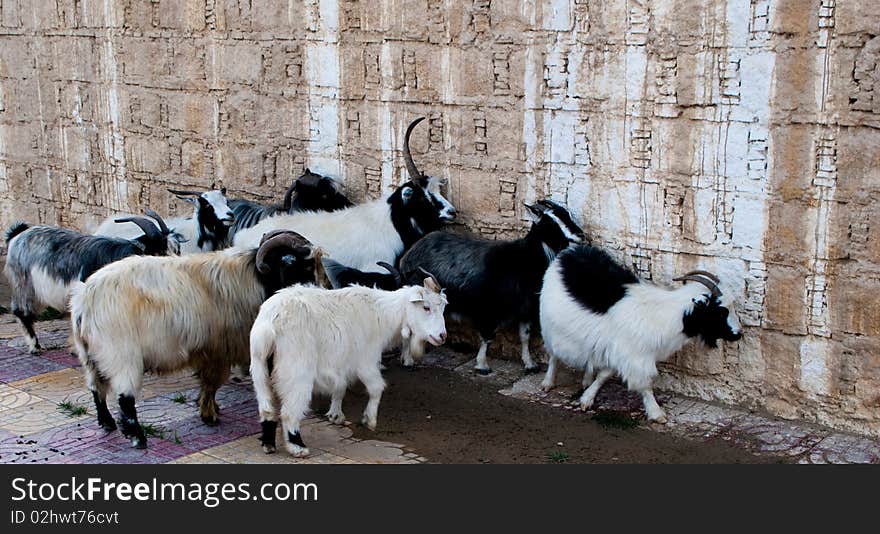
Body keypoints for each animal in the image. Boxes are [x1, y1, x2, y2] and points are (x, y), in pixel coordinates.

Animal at [69, 232, 324, 450]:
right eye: (305, 266)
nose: (321, 291)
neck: (253, 279)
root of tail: (85, 301)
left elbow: (207, 383)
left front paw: (210, 408)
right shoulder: (217, 350)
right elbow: (212, 383)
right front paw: (209, 414)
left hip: (90, 355)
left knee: (96, 388)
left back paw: (107, 423)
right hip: (121, 355)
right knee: (125, 398)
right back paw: (137, 438)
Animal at [540, 245, 740, 426]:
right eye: (720, 312)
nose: (738, 334)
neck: (667, 316)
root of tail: (567, 253)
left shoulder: (619, 351)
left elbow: (605, 374)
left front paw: (587, 396)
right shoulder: (635, 357)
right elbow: (645, 385)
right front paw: (656, 413)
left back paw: (585, 380)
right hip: (550, 327)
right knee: (553, 355)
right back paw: (548, 382)